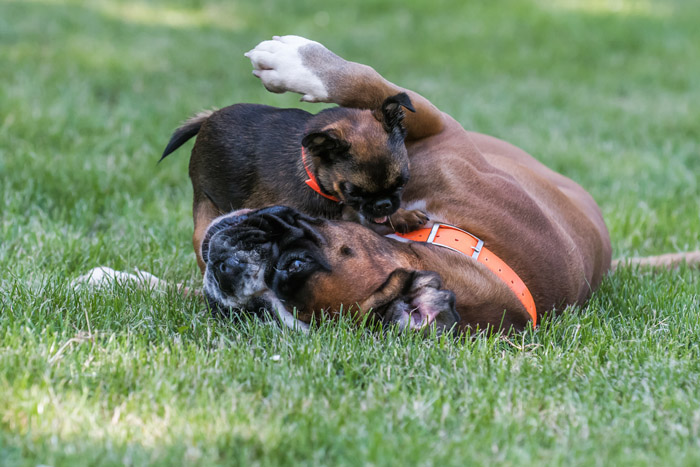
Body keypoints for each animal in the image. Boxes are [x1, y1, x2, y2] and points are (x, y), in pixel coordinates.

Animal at [161, 93, 430, 272]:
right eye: (354, 192)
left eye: (401, 183)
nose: (384, 204)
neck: (312, 175)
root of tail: (209, 118)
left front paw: (402, 216)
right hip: (204, 211)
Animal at [189, 36, 616, 334]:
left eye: (294, 267)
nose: (227, 271)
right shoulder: (437, 125)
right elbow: (368, 84)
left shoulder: (437, 127)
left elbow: (364, 82)